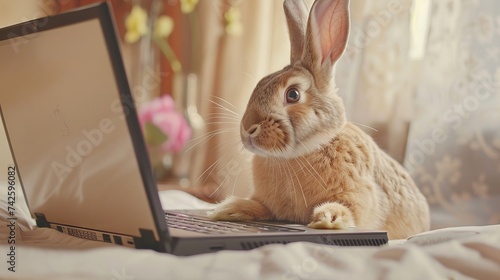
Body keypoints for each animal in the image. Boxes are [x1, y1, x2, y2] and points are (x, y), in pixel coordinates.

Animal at [207, 0, 430, 240]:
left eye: (293, 94)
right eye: (258, 85)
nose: (248, 128)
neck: (298, 155)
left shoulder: (359, 194)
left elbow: (350, 210)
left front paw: (329, 218)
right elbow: (259, 206)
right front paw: (228, 209)